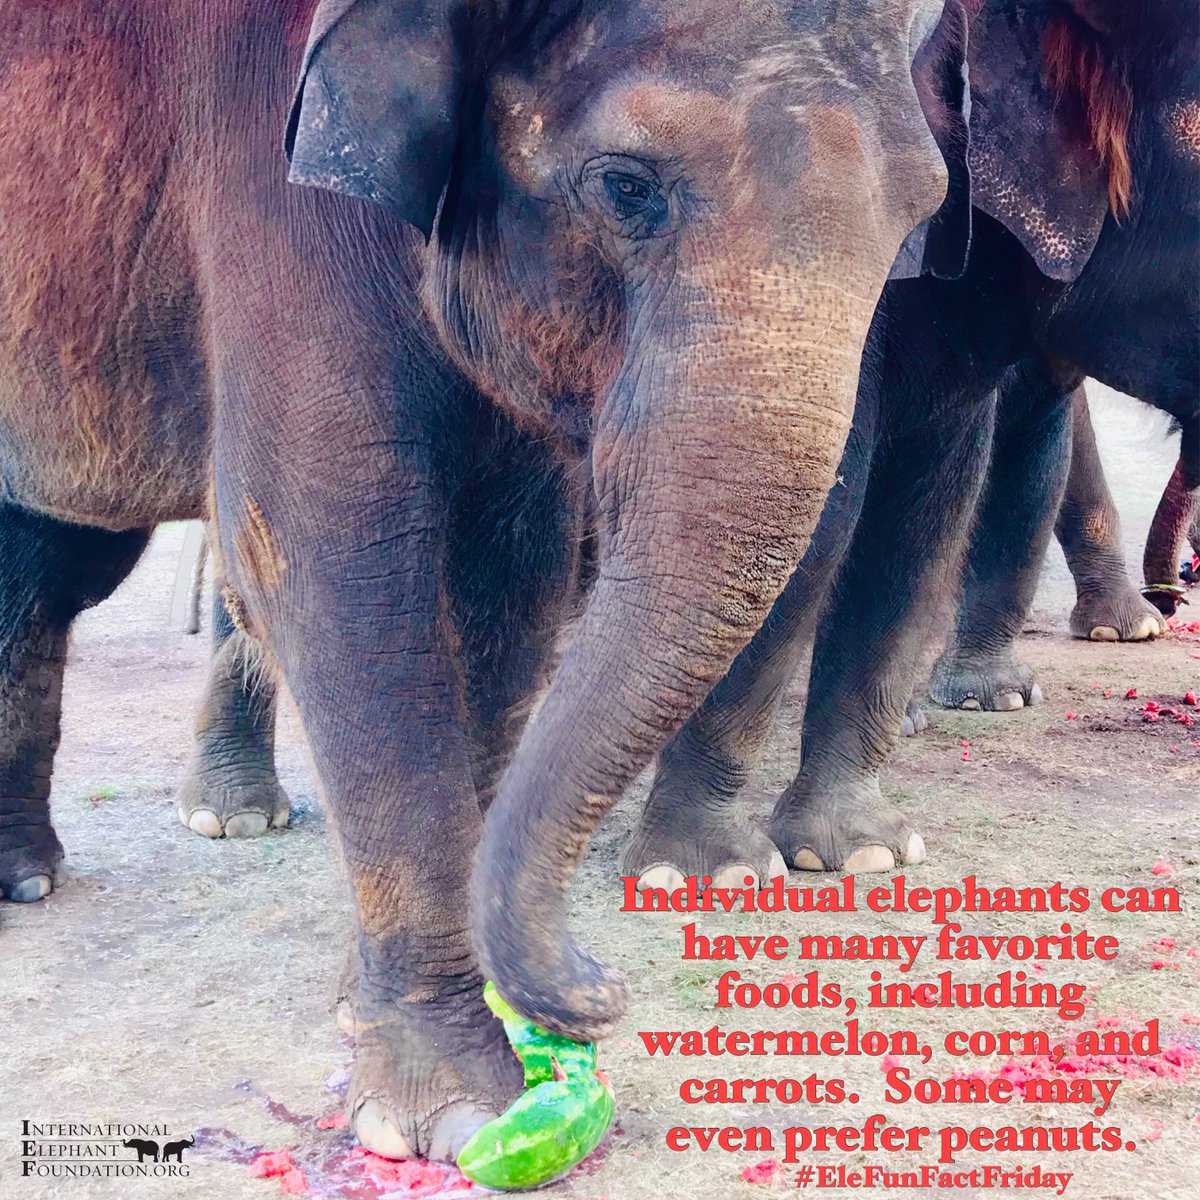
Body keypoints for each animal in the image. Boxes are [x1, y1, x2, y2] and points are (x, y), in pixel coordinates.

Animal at [0, 0, 967, 1162]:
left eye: (922, 216)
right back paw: (27, 879)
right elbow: (329, 551)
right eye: (627, 188)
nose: (600, 987)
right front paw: (451, 1110)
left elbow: (511, 577)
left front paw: (385, 1020)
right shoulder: (266, 189)